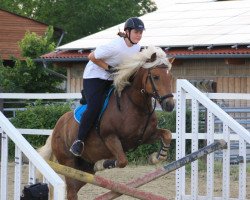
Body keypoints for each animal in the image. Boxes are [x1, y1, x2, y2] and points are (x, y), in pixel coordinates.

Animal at [39, 45, 176, 200]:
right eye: (156, 77)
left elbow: (167, 134)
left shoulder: (145, 136)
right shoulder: (110, 137)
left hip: (85, 169)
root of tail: (57, 127)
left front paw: (156, 157)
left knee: (75, 186)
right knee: (71, 190)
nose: (169, 105)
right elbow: (122, 161)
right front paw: (101, 164)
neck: (135, 105)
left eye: (170, 77)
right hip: (68, 162)